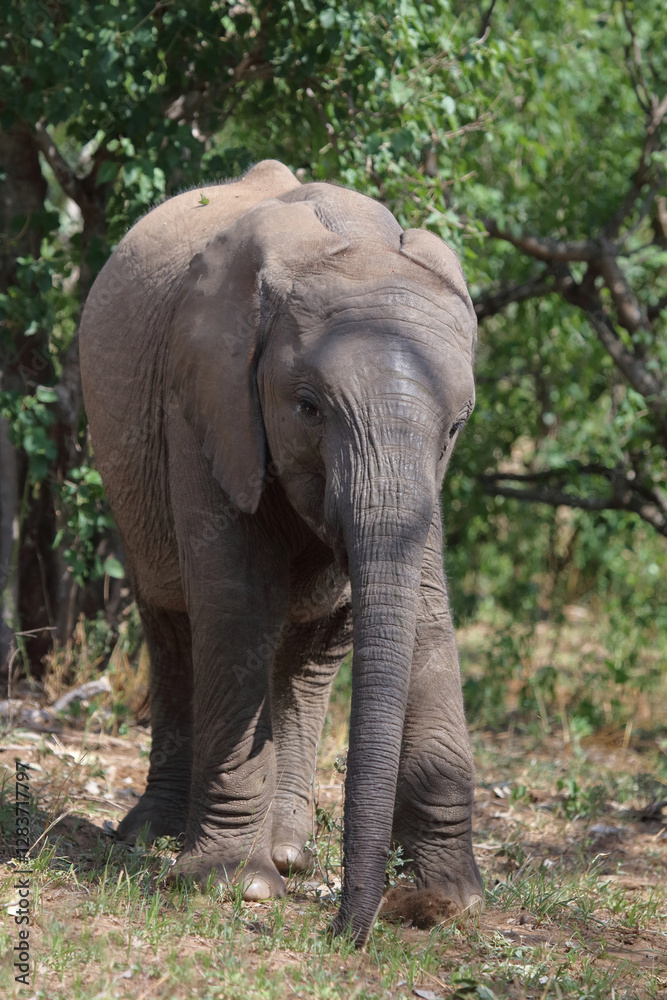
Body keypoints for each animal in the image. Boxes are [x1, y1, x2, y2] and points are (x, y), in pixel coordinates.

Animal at [79, 159, 483, 944]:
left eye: (456, 426)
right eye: (307, 408)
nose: (343, 931)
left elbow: (426, 610)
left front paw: (451, 902)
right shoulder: (204, 398)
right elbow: (235, 602)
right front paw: (232, 887)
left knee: (312, 650)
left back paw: (291, 851)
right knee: (174, 627)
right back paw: (157, 837)